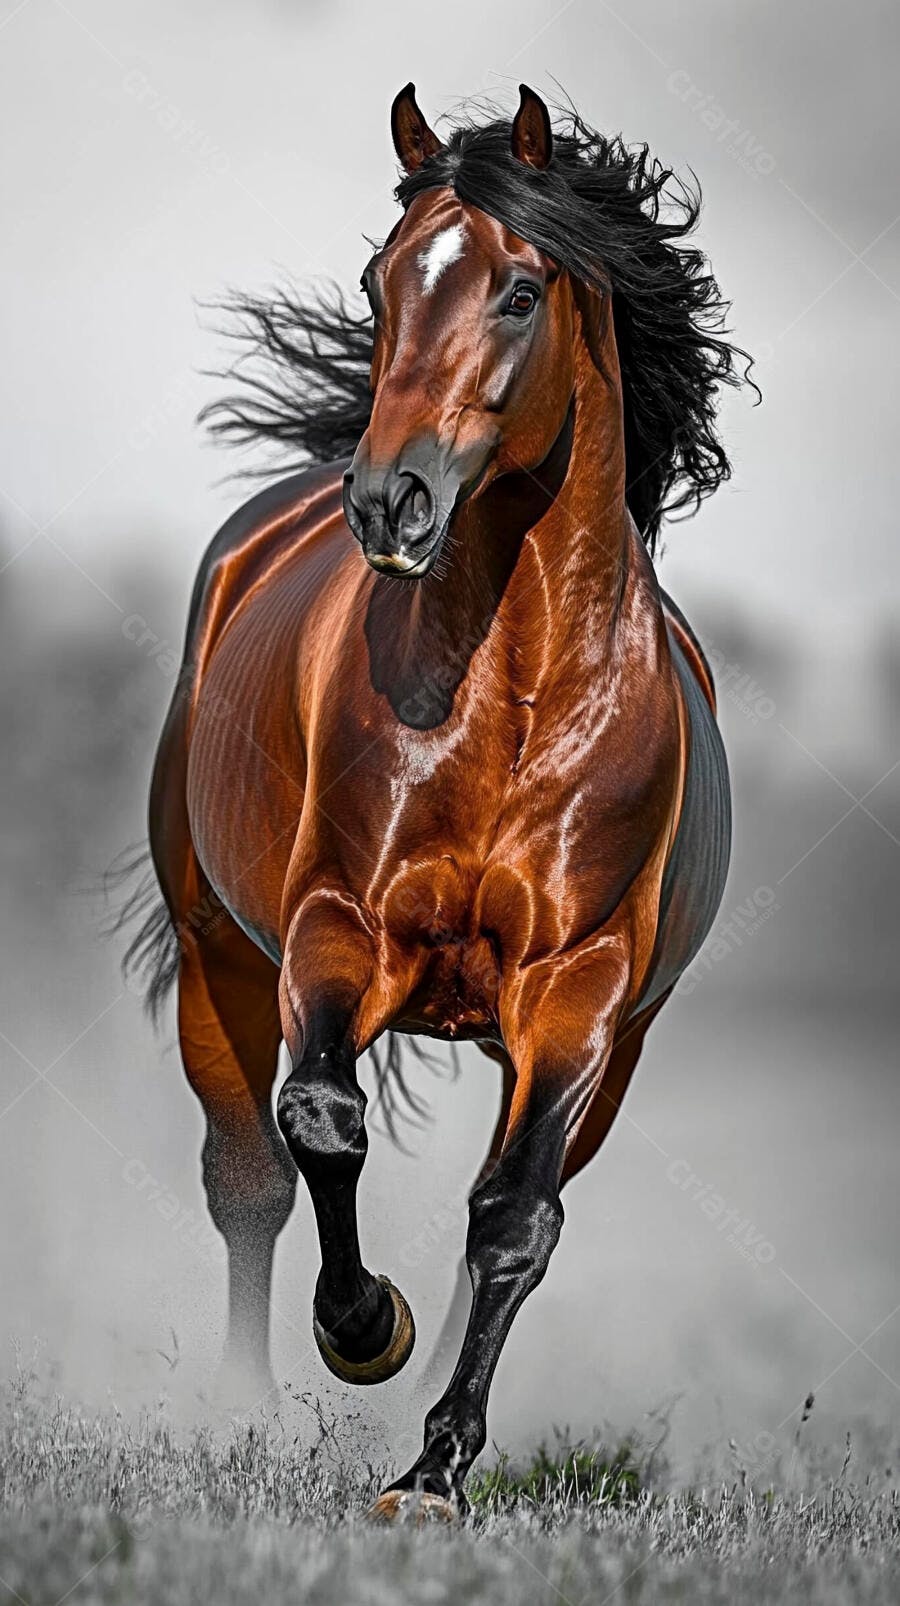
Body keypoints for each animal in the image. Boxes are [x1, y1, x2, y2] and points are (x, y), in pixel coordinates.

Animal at [123, 84, 747, 1521]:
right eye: (380, 281)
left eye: (519, 289)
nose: (389, 499)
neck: (512, 699)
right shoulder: (336, 932)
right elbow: (322, 1121)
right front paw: (365, 1328)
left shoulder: (578, 995)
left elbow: (514, 1217)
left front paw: (436, 1464)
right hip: (218, 957)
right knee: (248, 1178)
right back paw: (247, 1408)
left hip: (598, 1052)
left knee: (509, 1207)